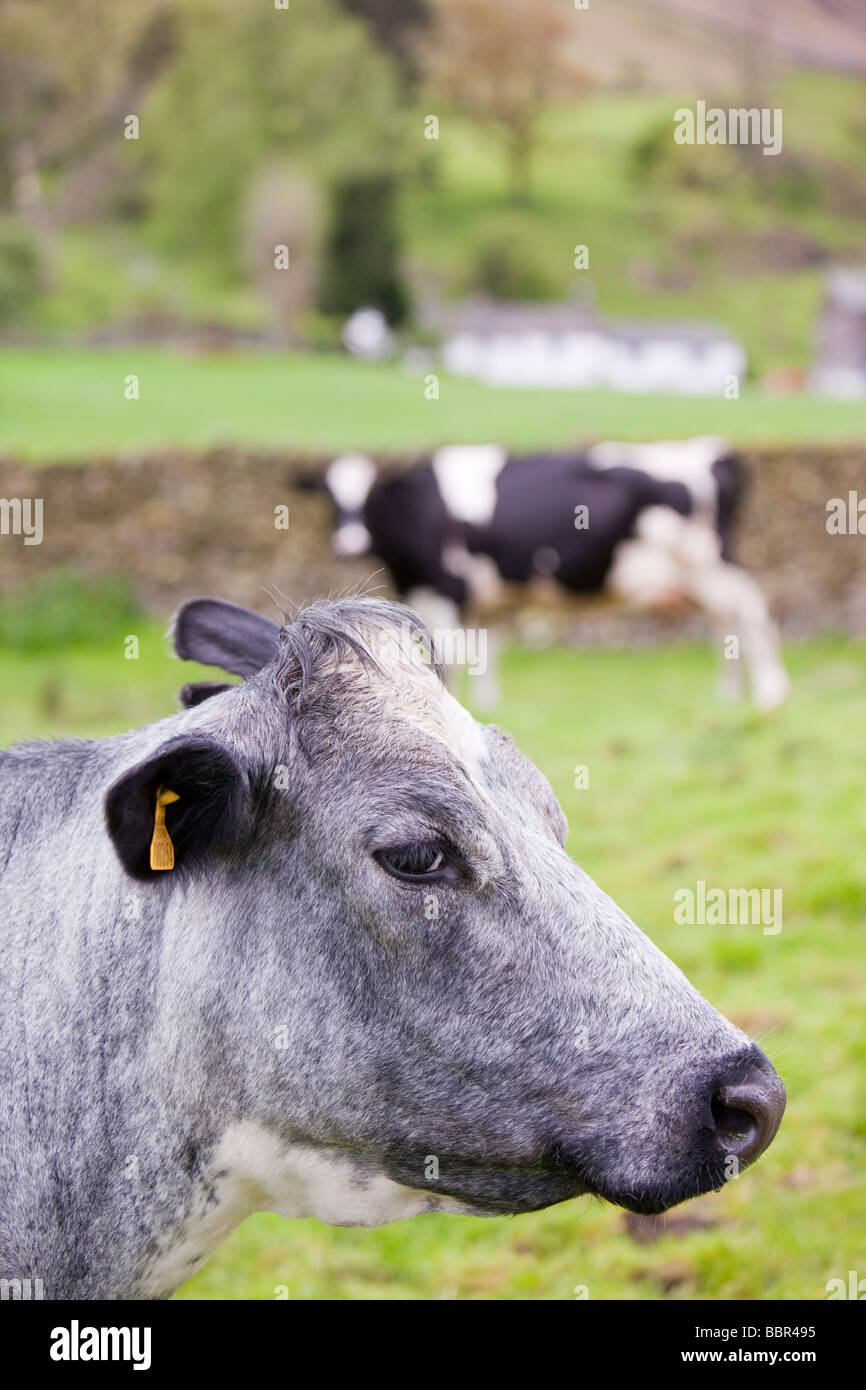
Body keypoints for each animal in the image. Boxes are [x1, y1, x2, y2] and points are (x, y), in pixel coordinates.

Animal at [319, 439, 795, 711]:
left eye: (368, 501)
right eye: (330, 499)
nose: (347, 542)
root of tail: (711, 449)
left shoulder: (449, 589)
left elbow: (450, 657)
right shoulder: (486, 600)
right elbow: (488, 651)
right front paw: (488, 707)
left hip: (712, 566)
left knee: (750, 614)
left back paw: (770, 694)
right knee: (726, 625)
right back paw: (730, 696)